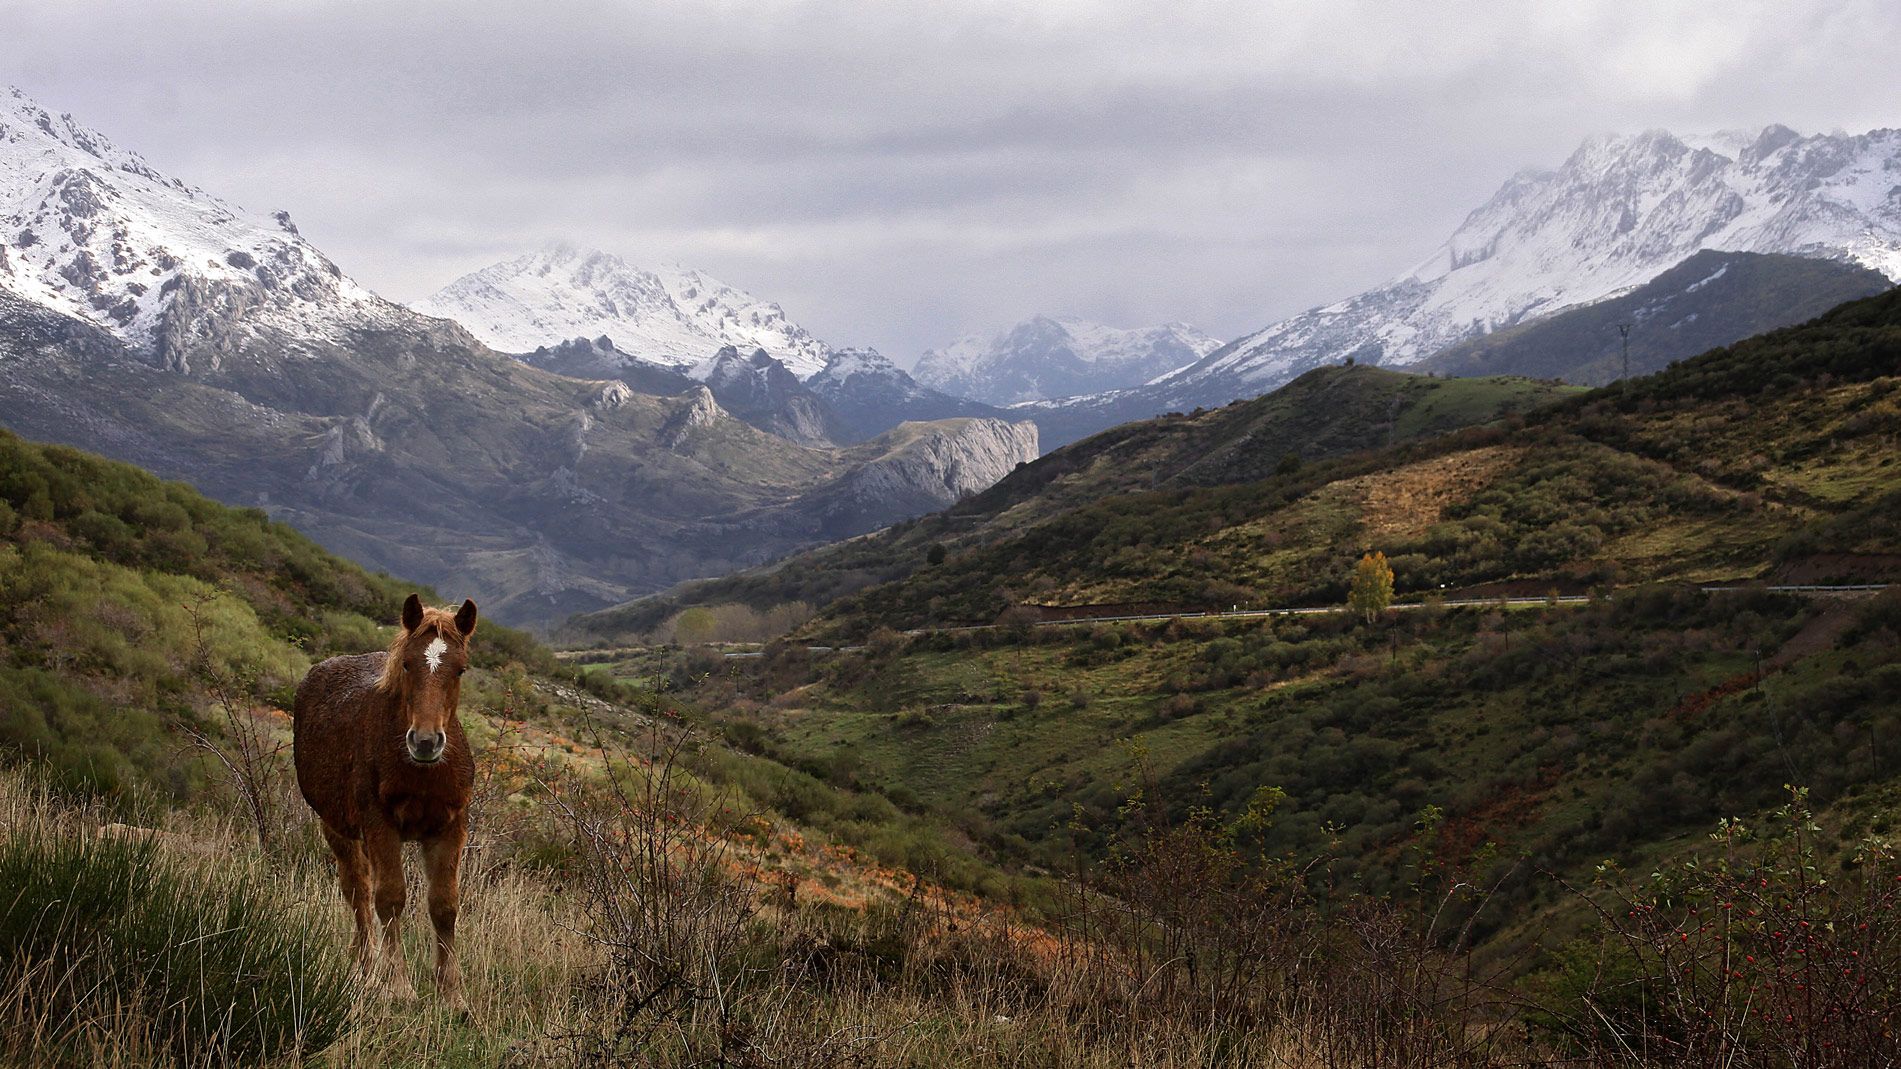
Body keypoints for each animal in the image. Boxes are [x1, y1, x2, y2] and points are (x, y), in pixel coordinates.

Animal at [294, 589, 482, 1004]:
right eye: (408, 665)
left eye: (460, 670)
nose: (425, 742)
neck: (422, 771)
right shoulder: (380, 825)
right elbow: (390, 898)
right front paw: (397, 985)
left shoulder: (450, 827)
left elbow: (444, 905)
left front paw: (452, 994)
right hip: (337, 828)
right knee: (359, 892)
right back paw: (366, 966)